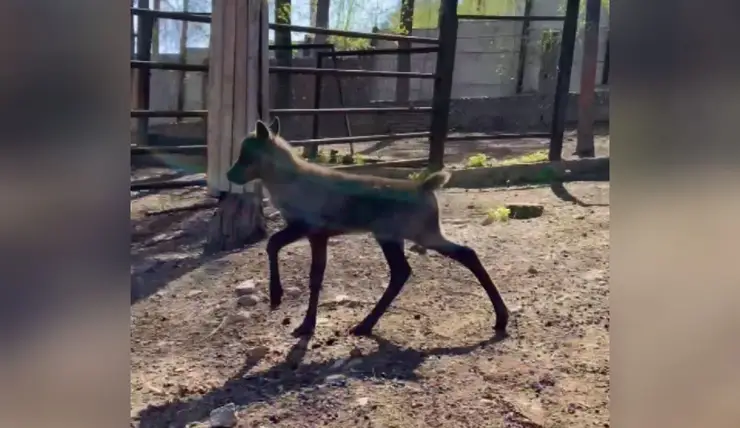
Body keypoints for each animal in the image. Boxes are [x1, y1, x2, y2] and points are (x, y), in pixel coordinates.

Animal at [227, 118, 508, 336]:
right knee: (415, 268)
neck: (289, 181)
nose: (230, 175)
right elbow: (314, 275)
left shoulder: (308, 227)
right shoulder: (317, 234)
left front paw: (281, 301)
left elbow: (275, 247)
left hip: (413, 234)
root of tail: (425, 186)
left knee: (443, 259)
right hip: (399, 236)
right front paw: (304, 322)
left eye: (247, 154)